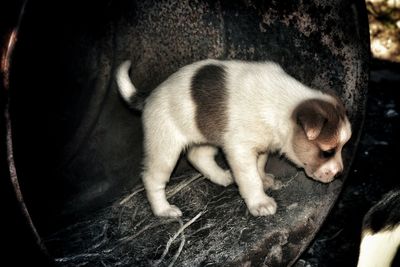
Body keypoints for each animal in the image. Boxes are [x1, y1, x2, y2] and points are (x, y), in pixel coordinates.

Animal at [115, 59, 350, 219]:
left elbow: (259, 166)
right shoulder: (240, 150)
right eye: (327, 152)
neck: (284, 107)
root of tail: (149, 96)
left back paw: (222, 177)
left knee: (197, 156)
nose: (340, 173)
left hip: (206, 137)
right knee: (152, 178)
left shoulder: (260, 146)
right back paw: (163, 210)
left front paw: (264, 179)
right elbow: (250, 178)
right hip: (165, 148)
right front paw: (260, 202)